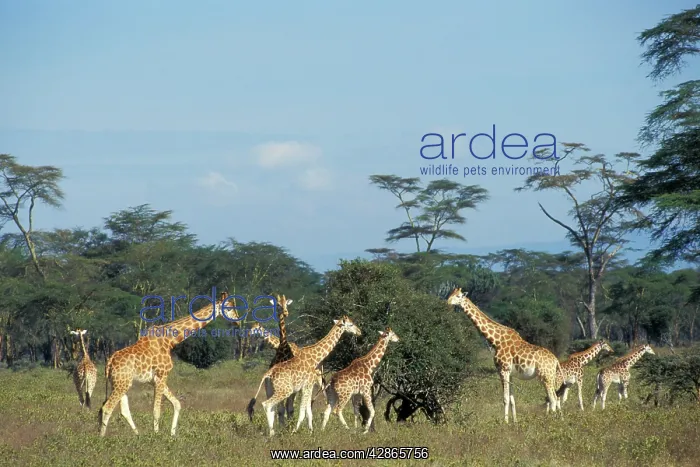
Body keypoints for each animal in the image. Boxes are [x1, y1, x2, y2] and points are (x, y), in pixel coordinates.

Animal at [98, 291, 236, 437]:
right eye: (229, 307)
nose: (237, 320)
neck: (170, 340)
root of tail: (109, 362)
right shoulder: (161, 375)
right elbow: (156, 410)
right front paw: (157, 435)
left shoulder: (155, 379)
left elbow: (177, 403)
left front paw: (172, 434)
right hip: (122, 383)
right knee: (107, 407)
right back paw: (101, 437)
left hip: (120, 383)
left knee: (122, 410)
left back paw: (137, 435)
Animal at [446, 288, 565, 423]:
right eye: (451, 294)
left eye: (458, 296)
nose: (447, 302)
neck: (496, 341)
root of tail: (555, 360)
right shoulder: (510, 373)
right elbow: (512, 399)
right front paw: (515, 422)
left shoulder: (503, 370)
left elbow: (505, 399)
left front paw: (505, 422)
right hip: (551, 376)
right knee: (556, 397)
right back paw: (560, 419)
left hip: (545, 376)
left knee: (553, 398)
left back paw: (551, 420)